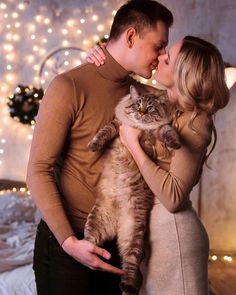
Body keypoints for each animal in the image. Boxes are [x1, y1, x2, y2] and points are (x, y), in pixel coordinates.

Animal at [84, 84, 181, 294]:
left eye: (150, 108)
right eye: (138, 105)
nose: (142, 112)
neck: (140, 129)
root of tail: (116, 224)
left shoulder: (160, 129)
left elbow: (168, 132)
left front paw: (176, 144)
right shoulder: (117, 125)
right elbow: (102, 133)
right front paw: (94, 146)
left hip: (133, 238)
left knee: (130, 267)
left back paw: (126, 286)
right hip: (95, 222)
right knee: (89, 246)